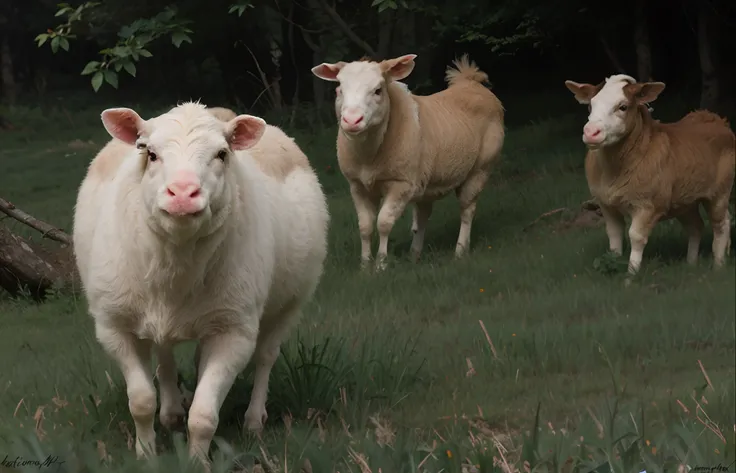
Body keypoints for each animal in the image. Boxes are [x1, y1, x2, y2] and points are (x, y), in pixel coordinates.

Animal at [72, 100, 330, 464]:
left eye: (222, 154)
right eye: (149, 152)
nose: (182, 193)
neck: (177, 265)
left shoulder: (233, 333)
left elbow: (204, 414)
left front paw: (197, 461)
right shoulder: (114, 326)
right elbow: (141, 401)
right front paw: (146, 453)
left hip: (289, 302)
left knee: (266, 356)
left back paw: (254, 419)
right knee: (165, 354)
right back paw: (170, 411)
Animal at [310, 52, 506, 270]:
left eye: (378, 90)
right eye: (339, 90)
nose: (352, 120)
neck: (369, 157)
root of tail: (471, 83)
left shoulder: (401, 184)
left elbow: (384, 223)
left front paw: (381, 265)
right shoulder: (357, 185)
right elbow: (365, 226)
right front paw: (364, 265)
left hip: (480, 169)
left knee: (467, 211)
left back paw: (460, 252)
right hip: (427, 182)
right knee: (423, 216)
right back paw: (415, 254)